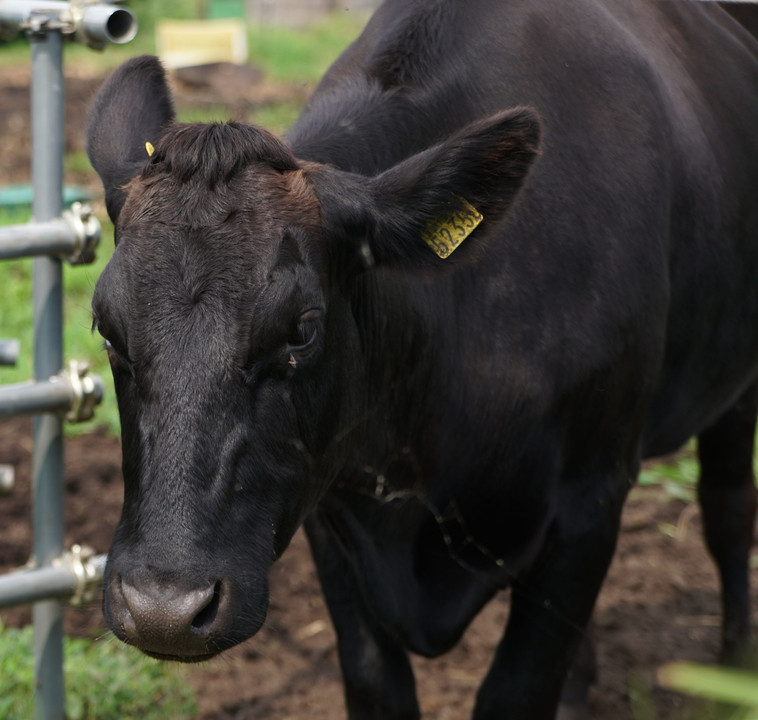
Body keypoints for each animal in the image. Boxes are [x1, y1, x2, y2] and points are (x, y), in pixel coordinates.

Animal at [86, 1, 758, 720]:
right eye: (106, 329)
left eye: (301, 330)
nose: (163, 608)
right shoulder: (329, 508)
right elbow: (376, 685)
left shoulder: (592, 493)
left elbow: (518, 688)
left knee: (727, 508)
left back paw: (734, 671)